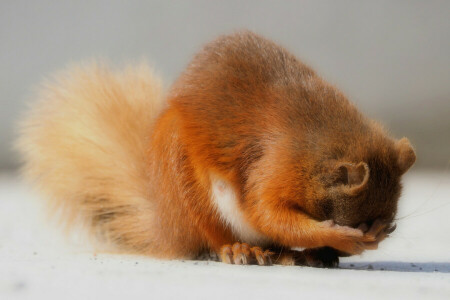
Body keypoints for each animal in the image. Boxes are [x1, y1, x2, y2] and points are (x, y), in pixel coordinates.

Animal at [17, 30, 414, 266]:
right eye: (355, 221)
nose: (332, 256)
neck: (317, 139)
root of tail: (167, 228)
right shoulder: (274, 167)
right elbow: (266, 211)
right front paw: (340, 237)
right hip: (188, 188)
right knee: (211, 238)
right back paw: (239, 249)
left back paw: (294, 256)